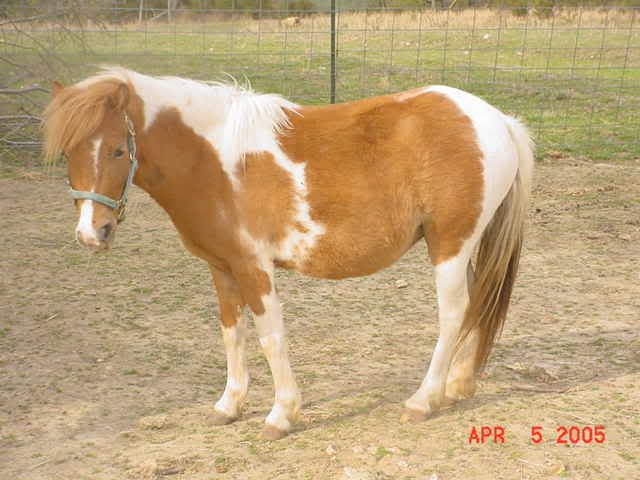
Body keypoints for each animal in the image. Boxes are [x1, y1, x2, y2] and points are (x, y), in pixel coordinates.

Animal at [42, 67, 533, 440]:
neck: (212, 161)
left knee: (453, 314)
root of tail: (498, 120)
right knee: (477, 305)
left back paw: (423, 400)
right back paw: (460, 384)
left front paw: (281, 415)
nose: (92, 233)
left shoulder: (253, 268)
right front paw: (228, 406)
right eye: (67, 152)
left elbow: (270, 337)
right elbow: (232, 334)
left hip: (449, 246)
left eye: (118, 150)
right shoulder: (221, 268)